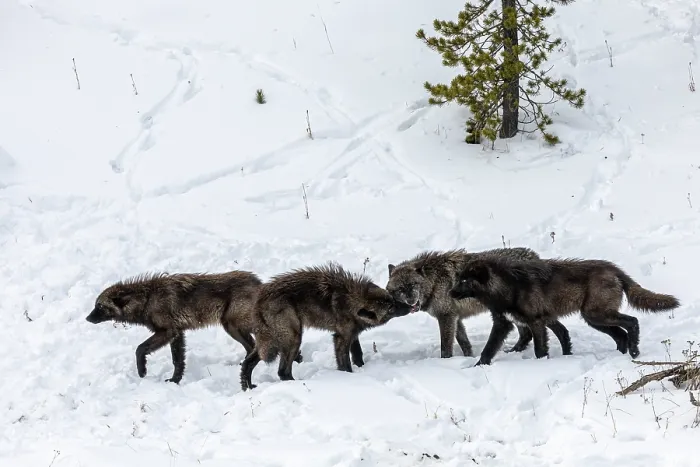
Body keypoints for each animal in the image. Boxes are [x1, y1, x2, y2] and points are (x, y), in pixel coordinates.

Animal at [85, 270, 263, 384]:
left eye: (99, 306)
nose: (87, 318)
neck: (147, 299)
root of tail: (259, 283)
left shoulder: (167, 331)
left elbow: (140, 349)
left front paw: (143, 371)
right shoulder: (177, 334)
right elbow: (177, 361)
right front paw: (174, 380)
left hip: (236, 326)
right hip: (232, 328)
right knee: (251, 346)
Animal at [240, 262, 414, 390]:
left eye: (392, 299)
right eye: (391, 308)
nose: (410, 306)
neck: (352, 300)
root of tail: (260, 300)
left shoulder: (352, 335)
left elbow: (358, 355)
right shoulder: (341, 338)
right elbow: (345, 364)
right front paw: (350, 377)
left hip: (270, 342)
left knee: (247, 363)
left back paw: (248, 387)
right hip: (293, 338)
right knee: (282, 371)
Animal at [386, 247, 572, 358]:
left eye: (413, 285)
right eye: (401, 289)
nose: (411, 300)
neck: (434, 281)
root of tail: (535, 256)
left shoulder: (446, 317)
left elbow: (446, 347)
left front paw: (445, 362)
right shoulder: (455, 318)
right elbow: (464, 342)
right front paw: (470, 357)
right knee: (527, 334)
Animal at [449, 256, 681, 365]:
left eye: (464, 280)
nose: (450, 293)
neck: (507, 287)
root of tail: (615, 269)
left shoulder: (536, 322)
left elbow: (540, 349)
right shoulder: (504, 323)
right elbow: (488, 349)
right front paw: (478, 366)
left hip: (597, 315)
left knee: (632, 322)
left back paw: (634, 352)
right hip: (594, 318)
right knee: (620, 335)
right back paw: (621, 354)